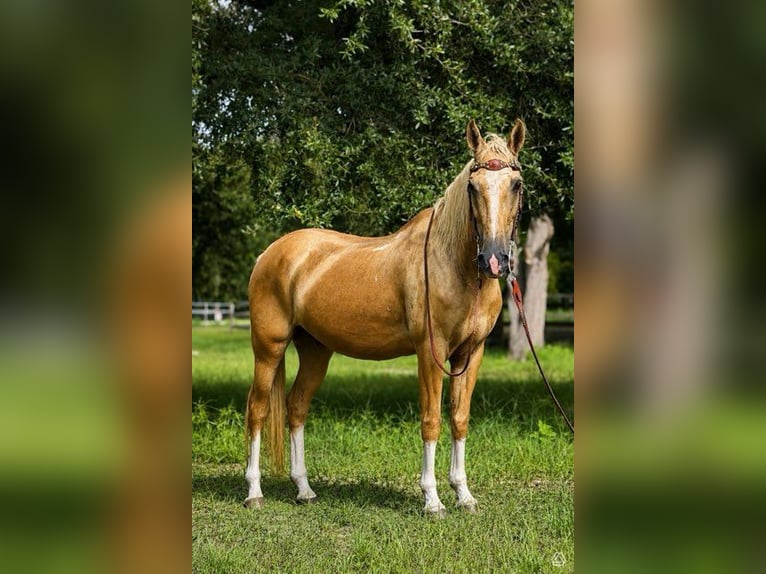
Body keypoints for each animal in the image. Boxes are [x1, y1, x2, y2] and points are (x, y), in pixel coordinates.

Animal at [244, 119, 526, 516]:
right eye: (473, 187)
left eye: (516, 185)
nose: (494, 260)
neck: (452, 265)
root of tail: (269, 253)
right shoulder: (430, 353)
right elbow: (431, 421)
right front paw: (432, 500)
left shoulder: (470, 355)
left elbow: (459, 419)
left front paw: (464, 495)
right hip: (268, 348)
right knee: (256, 410)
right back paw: (254, 492)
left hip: (315, 351)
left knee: (296, 407)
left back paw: (304, 489)